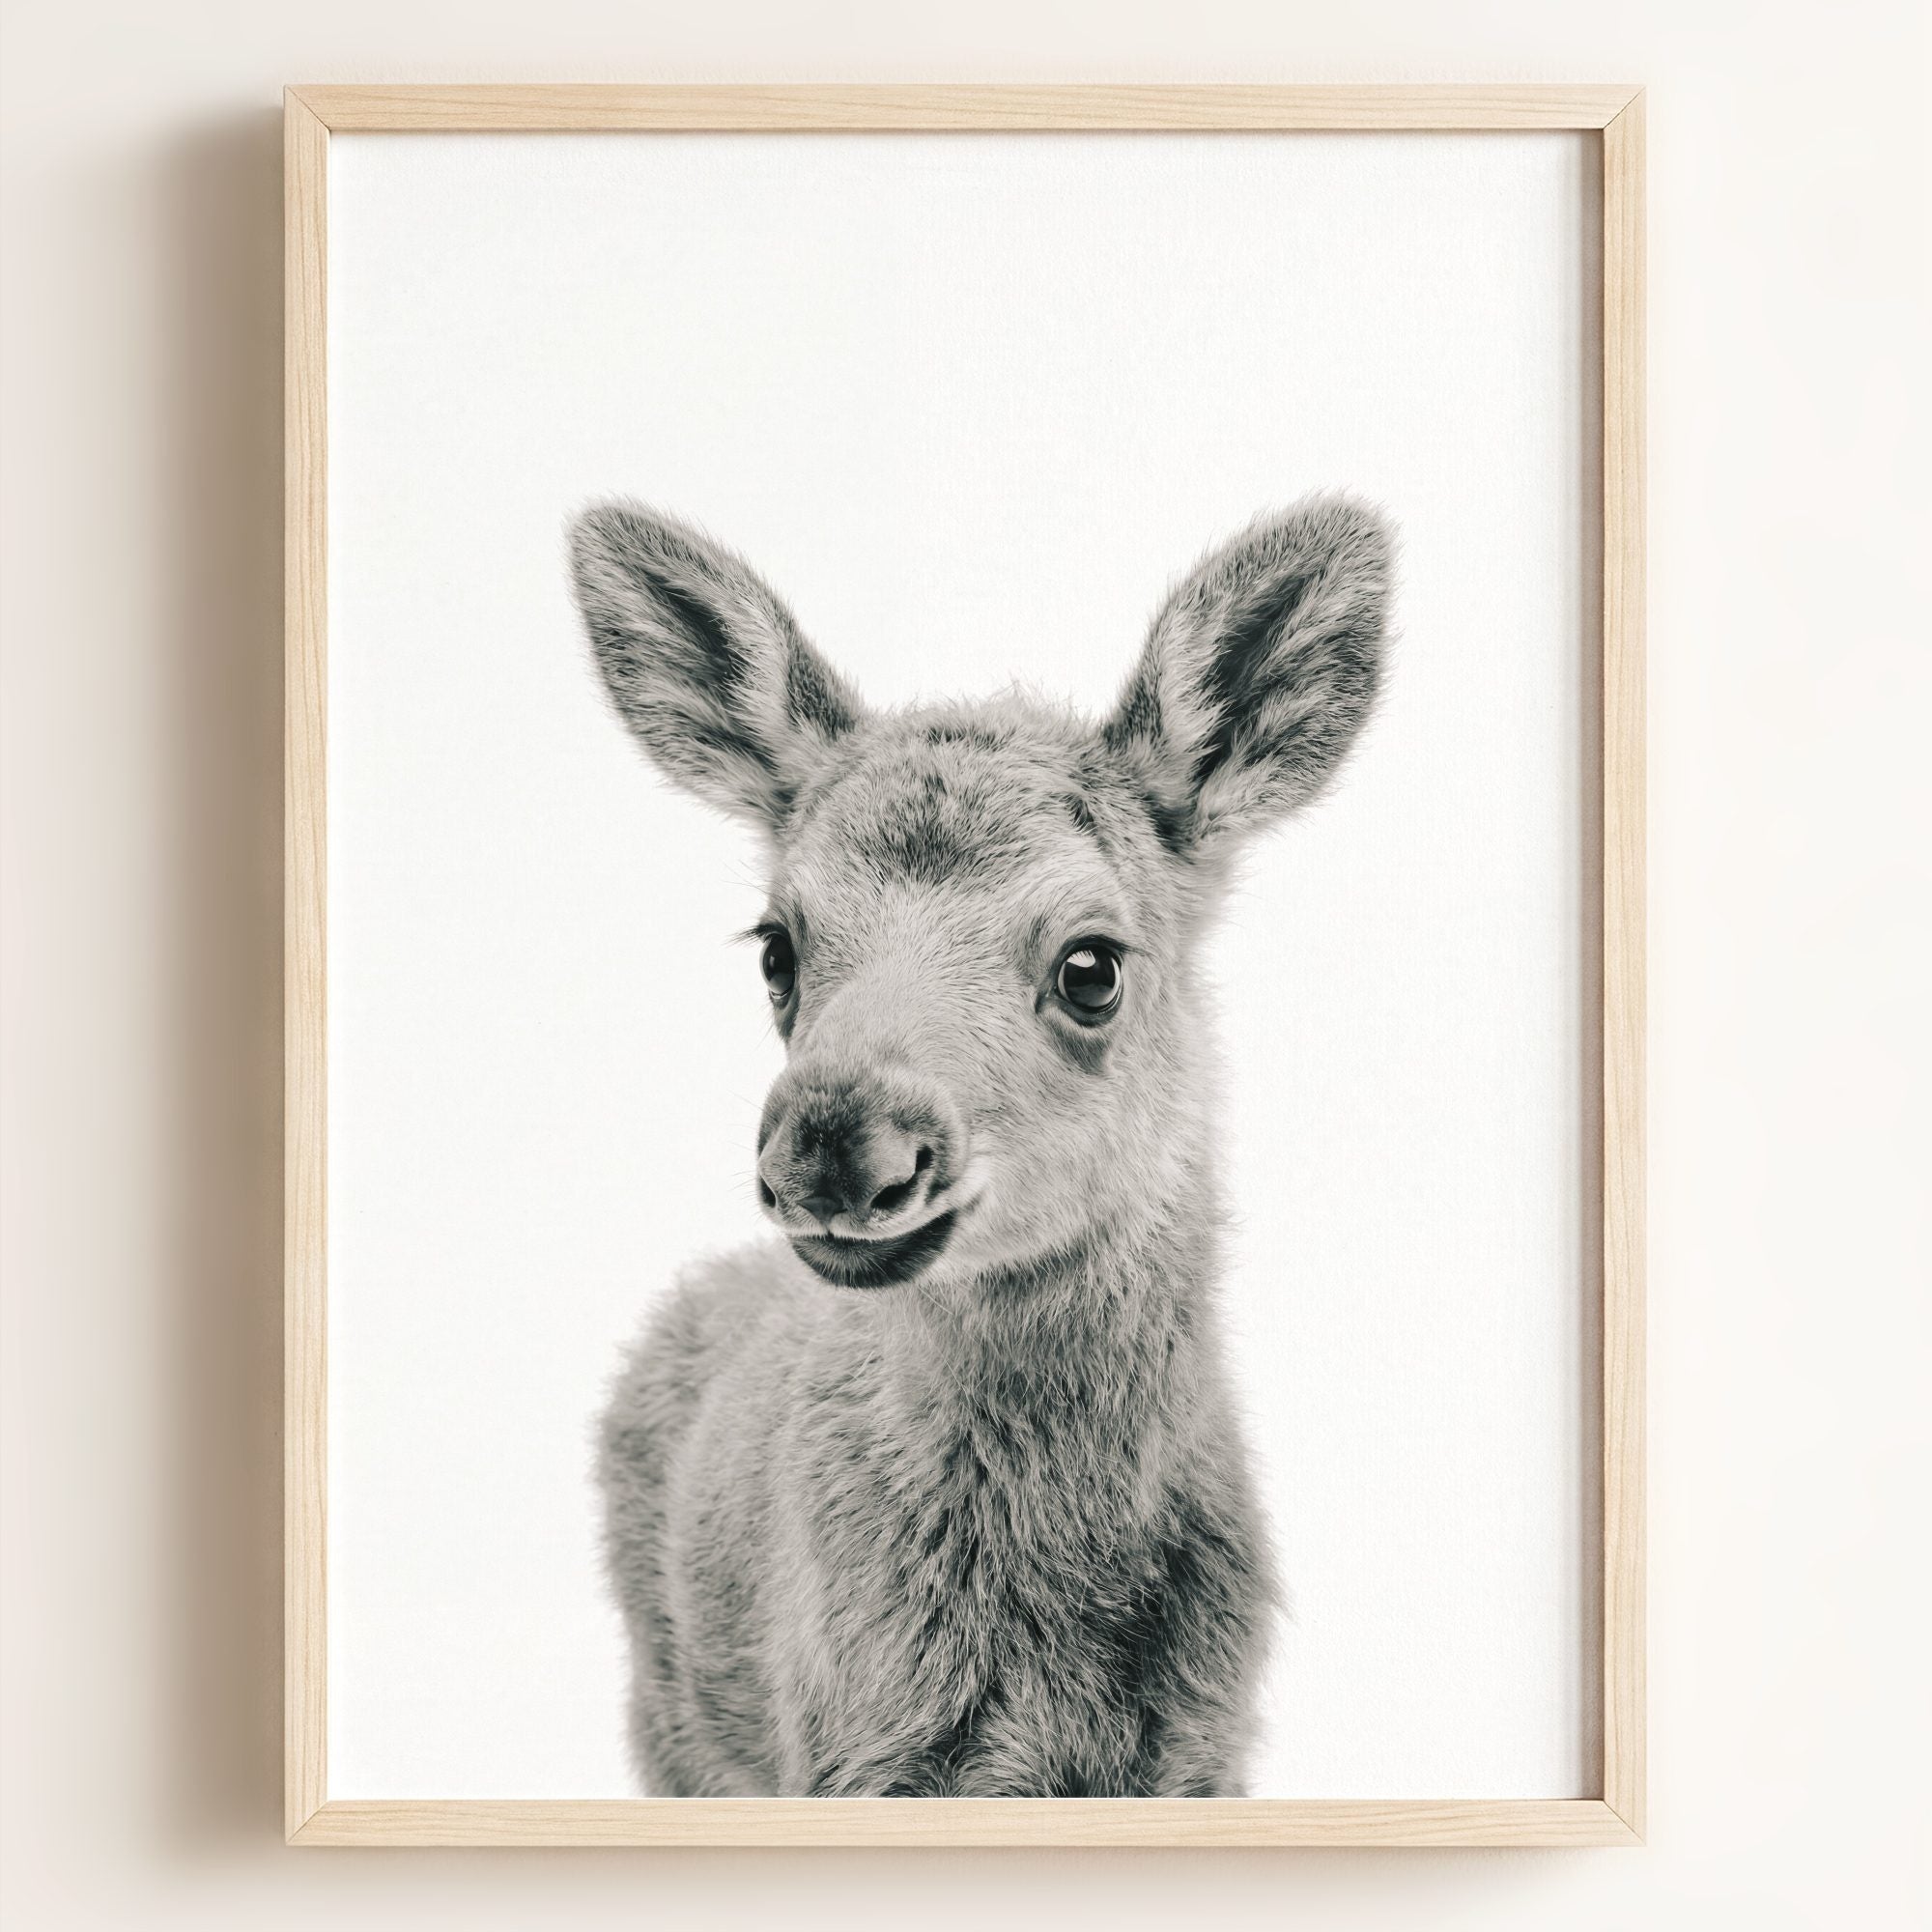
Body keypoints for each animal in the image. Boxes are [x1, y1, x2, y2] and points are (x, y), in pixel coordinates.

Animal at [569, 493, 1393, 1797]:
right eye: (777, 947)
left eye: (1091, 964)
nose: (834, 1143)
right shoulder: (847, 1751)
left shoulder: (1203, 1750)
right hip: (671, 1717)